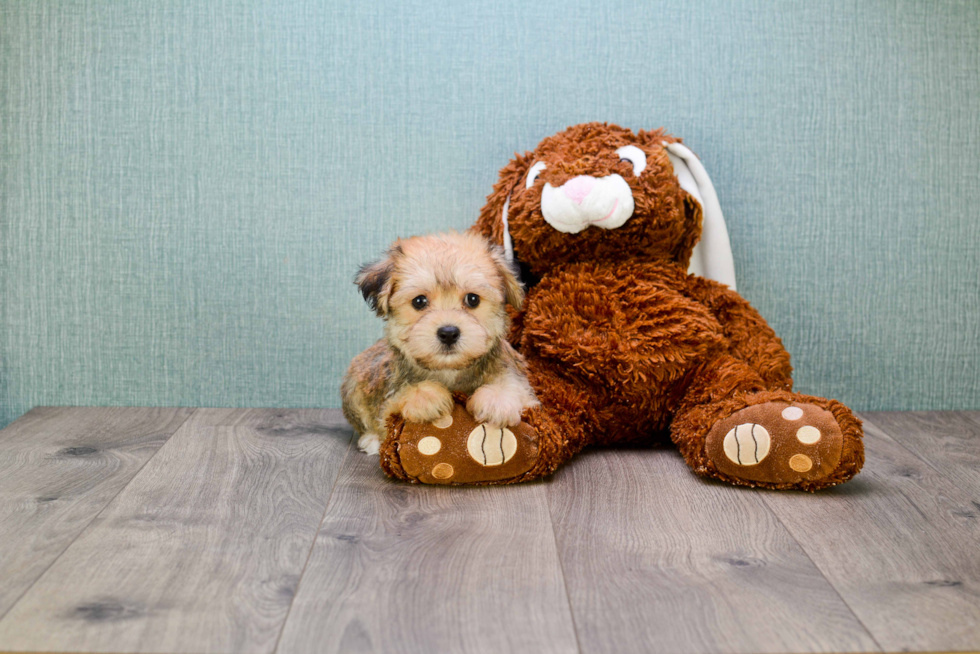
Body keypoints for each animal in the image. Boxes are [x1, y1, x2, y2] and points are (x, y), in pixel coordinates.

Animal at [340, 232, 540, 456]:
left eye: (472, 299)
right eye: (419, 301)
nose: (449, 333)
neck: (448, 370)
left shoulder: (521, 382)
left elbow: (513, 385)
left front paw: (497, 399)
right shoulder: (387, 396)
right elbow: (392, 405)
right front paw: (425, 396)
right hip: (353, 388)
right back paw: (371, 440)